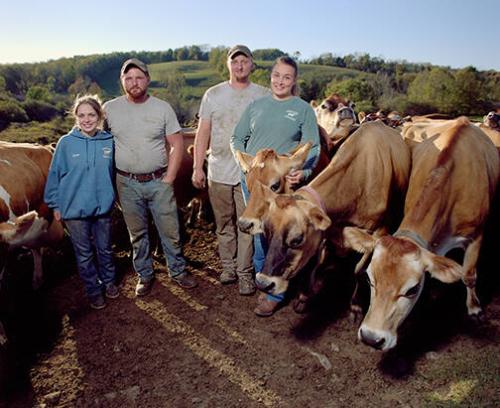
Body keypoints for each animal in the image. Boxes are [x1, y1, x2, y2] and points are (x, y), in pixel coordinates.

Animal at [238, 119, 410, 310]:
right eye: (248, 186)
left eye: (297, 239)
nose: (263, 282)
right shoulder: (327, 230)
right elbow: (318, 261)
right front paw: (304, 296)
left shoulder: (380, 232)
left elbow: (360, 269)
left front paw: (356, 303)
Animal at [344, 118, 500, 350]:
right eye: (370, 280)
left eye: (412, 289)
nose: (372, 338)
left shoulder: (476, 235)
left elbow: (469, 275)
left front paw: (474, 309)